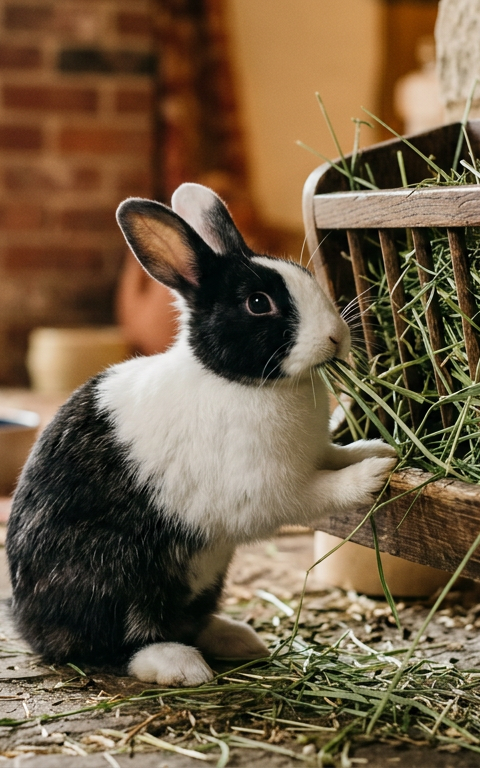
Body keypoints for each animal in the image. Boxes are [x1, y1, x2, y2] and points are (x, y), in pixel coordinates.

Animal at [6, 183, 397, 687]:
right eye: (258, 303)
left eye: (306, 275)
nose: (335, 338)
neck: (238, 381)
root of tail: (28, 623)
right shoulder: (267, 488)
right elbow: (319, 491)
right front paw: (373, 474)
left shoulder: (315, 452)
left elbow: (335, 454)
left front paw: (379, 449)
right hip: (115, 574)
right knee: (118, 643)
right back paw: (181, 666)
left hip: (206, 579)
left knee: (190, 621)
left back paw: (239, 639)